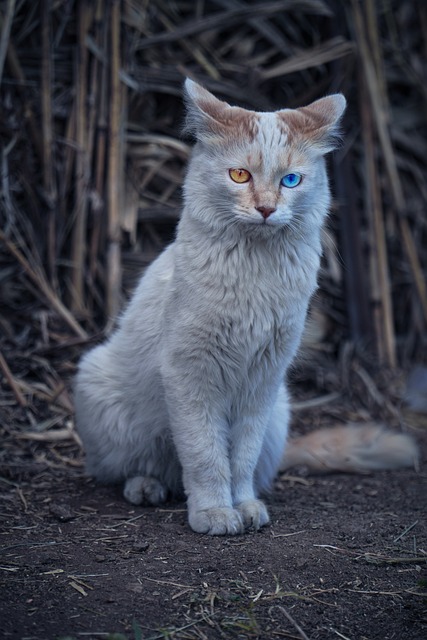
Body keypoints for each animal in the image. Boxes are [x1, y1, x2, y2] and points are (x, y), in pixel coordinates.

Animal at [73, 81, 418, 540]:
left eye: (291, 180)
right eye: (240, 176)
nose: (267, 209)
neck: (256, 271)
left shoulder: (262, 381)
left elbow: (241, 460)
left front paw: (245, 507)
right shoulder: (191, 375)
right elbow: (205, 456)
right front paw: (215, 514)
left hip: (279, 411)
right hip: (102, 393)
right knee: (133, 469)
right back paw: (146, 487)